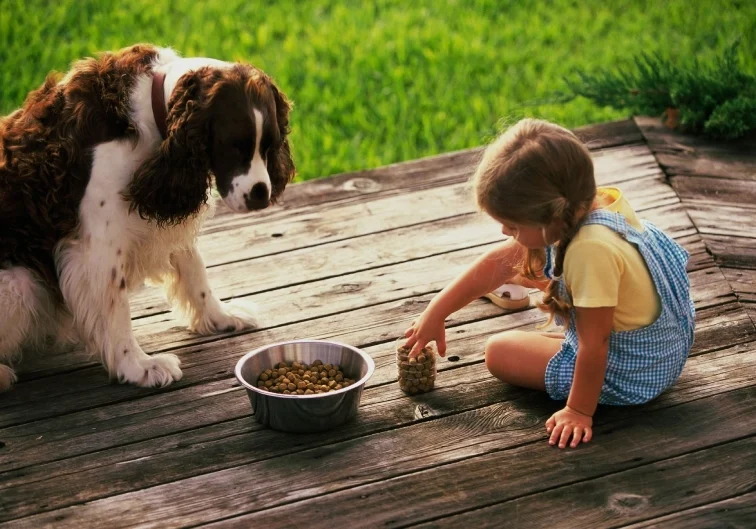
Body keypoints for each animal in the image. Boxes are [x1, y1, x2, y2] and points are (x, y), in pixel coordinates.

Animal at [0, 44, 296, 388]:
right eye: (234, 146)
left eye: (269, 145)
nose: (262, 194)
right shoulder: (96, 245)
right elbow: (115, 309)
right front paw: (138, 367)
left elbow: (195, 271)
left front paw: (220, 317)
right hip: (19, 283)